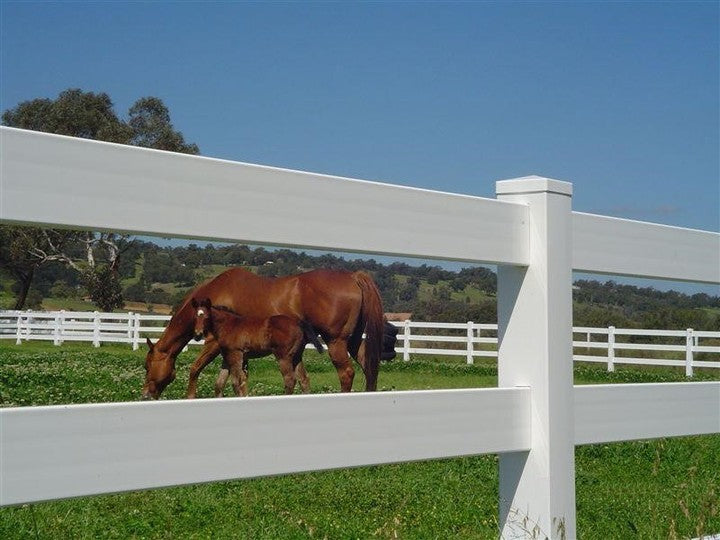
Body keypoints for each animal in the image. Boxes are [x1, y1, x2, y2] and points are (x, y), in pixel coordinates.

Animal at [191, 298, 323, 396]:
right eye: (195, 317)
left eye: (206, 317)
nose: (197, 335)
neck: (229, 325)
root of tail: (298, 322)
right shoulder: (228, 357)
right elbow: (221, 383)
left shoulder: (236, 355)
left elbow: (236, 382)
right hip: (296, 356)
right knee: (304, 379)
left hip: (284, 357)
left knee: (290, 379)